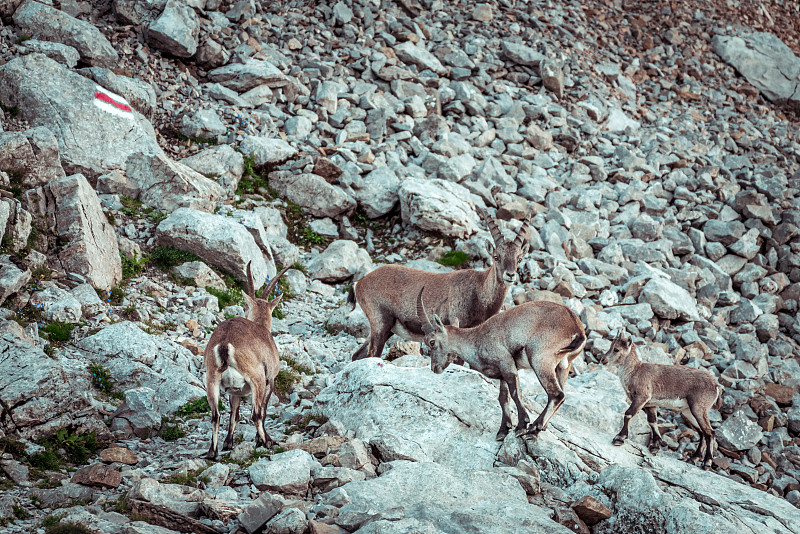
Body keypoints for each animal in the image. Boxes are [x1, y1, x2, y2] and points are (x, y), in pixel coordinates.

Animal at [203, 264, 290, 460]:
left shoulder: (234, 391)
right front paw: (260, 439)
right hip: (256, 377)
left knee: (215, 415)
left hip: (211, 379)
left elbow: (234, 414)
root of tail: (224, 343)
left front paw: (228, 442)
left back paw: (212, 452)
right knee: (256, 414)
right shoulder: (269, 380)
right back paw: (268, 442)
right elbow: (263, 411)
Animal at [350, 209, 532, 360]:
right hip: (380, 322)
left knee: (357, 355)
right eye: (496, 256)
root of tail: (359, 283)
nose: (510, 275)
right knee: (372, 354)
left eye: (519, 258)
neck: (479, 292)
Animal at [416, 292, 584, 442]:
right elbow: (503, 397)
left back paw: (533, 429)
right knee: (560, 394)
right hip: (562, 366)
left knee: (557, 394)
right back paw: (539, 429)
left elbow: (515, 393)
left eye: (431, 342)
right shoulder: (503, 372)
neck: (477, 338)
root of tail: (577, 327)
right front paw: (503, 430)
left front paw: (521, 426)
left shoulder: (506, 363)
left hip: (540, 359)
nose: (434, 368)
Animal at [600, 332, 724, 472]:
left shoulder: (641, 397)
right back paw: (693, 459)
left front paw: (619, 438)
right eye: (611, 346)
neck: (635, 371)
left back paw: (707, 462)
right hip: (688, 412)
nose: (603, 360)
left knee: (709, 432)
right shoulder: (650, 404)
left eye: (616, 349)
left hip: (699, 408)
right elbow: (652, 422)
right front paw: (655, 446)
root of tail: (716, 386)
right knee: (702, 432)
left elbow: (628, 414)